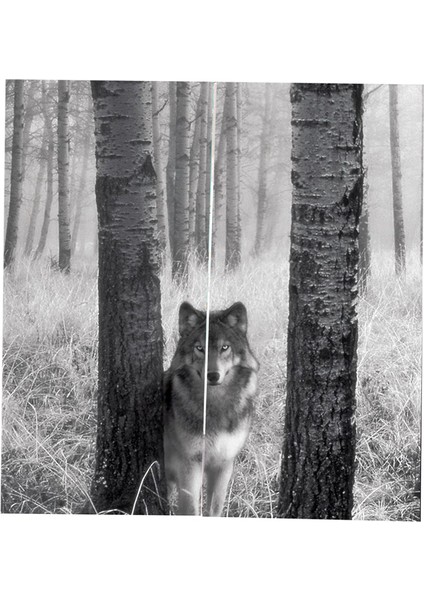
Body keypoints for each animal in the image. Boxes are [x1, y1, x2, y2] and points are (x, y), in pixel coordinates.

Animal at [165, 300, 258, 516]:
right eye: (200, 348)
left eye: (224, 347)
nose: (213, 375)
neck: (215, 405)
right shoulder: (190, 464)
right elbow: (191, 510)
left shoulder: (223, 465)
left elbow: (214, 509)